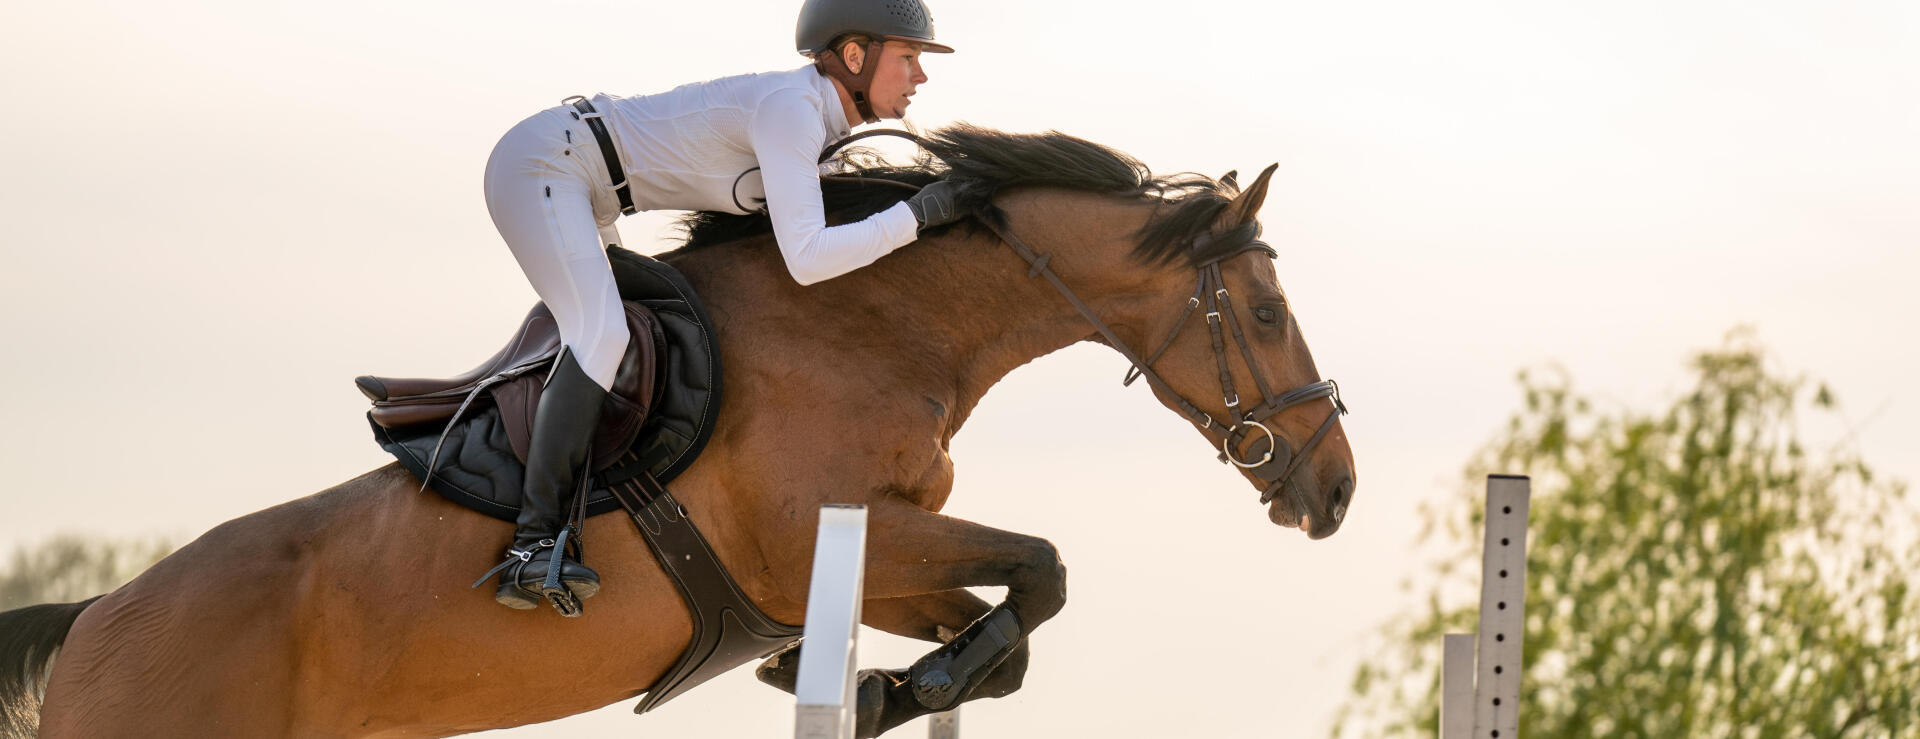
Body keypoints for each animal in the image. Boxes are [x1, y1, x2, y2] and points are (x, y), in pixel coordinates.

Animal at [0, 123, 1359, 733]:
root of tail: (96, 619)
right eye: (1269, 310)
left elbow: (1016, 606)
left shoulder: (866, 552)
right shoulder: (826, 534)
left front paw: (880, 685)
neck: (871, 326)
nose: (1336, 490)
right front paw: (888, 687)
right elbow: (1046, 566)